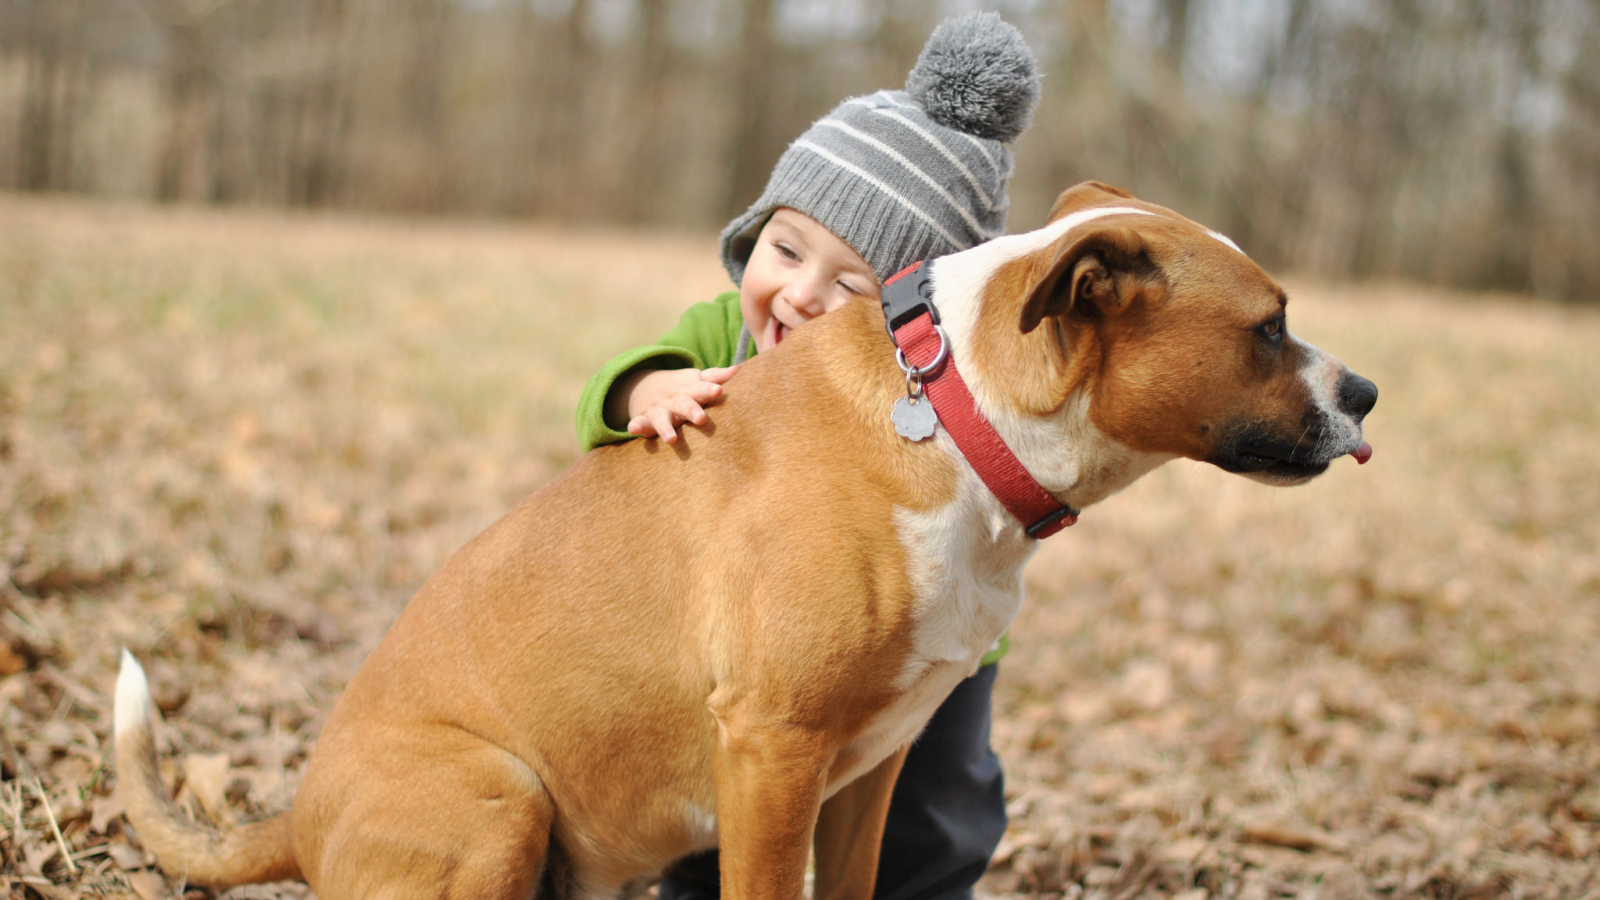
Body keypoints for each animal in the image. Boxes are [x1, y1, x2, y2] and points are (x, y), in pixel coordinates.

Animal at [118, 182, 1382, 896]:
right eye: (1269, 328)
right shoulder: (774, 752)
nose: (1367, 392)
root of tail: (295, 817)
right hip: (496, 798)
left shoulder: (868, 768)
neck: (952, 415)